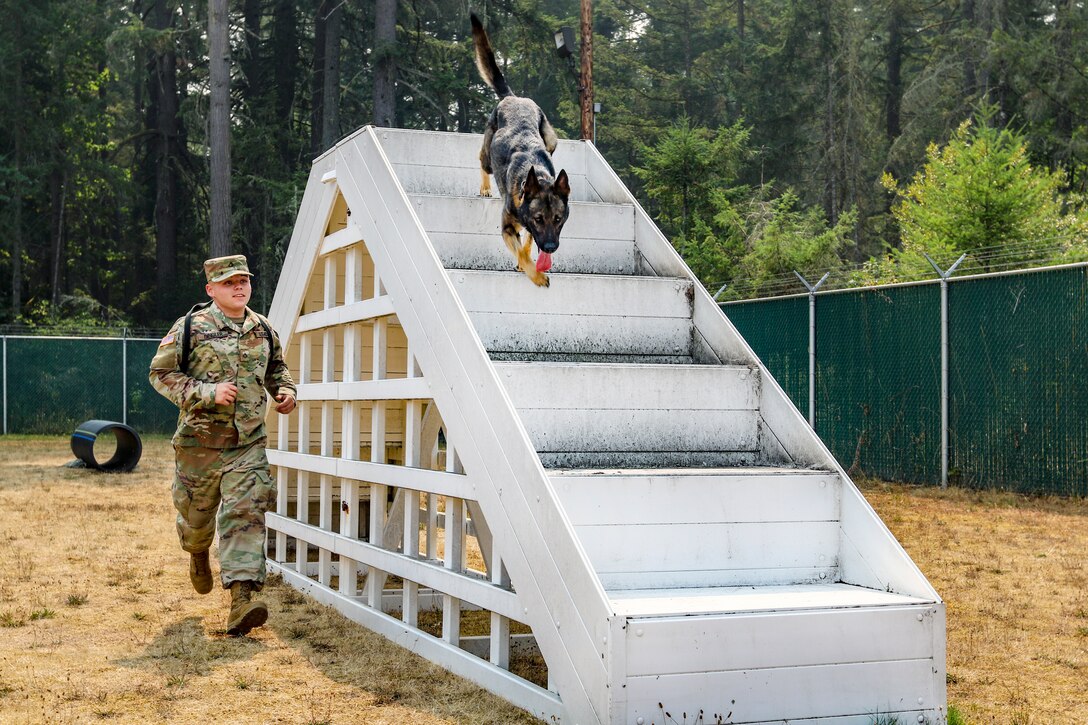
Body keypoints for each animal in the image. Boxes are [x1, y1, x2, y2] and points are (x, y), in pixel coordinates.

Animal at [470, 14, 570, 285]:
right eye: (539, 219)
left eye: (558, 219)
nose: (550, 247)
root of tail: (513, 97)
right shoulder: (506, 228)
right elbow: (524, 253)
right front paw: (536, 276)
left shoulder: (529, 232)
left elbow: (527, 242)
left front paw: (527, 261)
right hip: (488, 154)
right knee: (481, 161)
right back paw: (485, 188)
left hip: (552, 140)